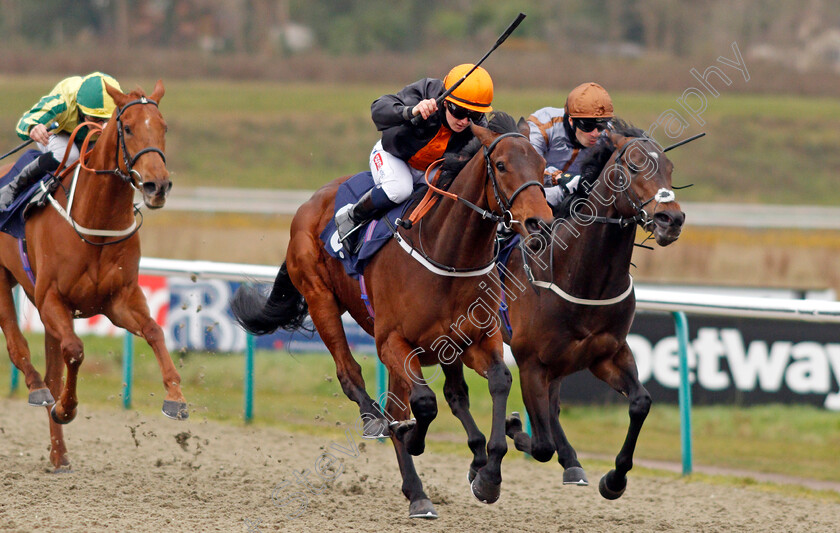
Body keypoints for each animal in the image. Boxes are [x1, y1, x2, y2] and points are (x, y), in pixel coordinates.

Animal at [0, 80, 185, 470]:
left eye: (163, 127)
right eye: (127, 127)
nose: (157, 186)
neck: (97, 222)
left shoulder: (119, 300)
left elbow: (154, 331)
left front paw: (175, 396)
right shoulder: (52, 298)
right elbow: (75, 349)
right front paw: (66, 408)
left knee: (51, 369)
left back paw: (59, 454)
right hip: (2, 280)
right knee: (16, 344)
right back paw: (38, 389)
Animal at [233, 114, 556, 516]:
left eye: (542, 166)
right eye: (500, 165)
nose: (540, 223)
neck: (447, 252)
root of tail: (311, 202)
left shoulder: (477, 338)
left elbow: (498, 381)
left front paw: (488, 477)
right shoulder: (392, 342)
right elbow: (423, 404)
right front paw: (410, 435)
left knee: (444, 395)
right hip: (321, 298)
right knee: (352, 374)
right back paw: (389, 443)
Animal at [498, 120, 684, 498]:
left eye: (671, 169)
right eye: (634, 166)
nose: (671, 219)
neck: (580, 276)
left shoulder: (608, 353)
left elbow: (640, 402)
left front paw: (614, 479)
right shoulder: (531, 362)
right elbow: (540, 444)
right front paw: (514, 427)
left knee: (553, 408)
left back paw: (572, 462)